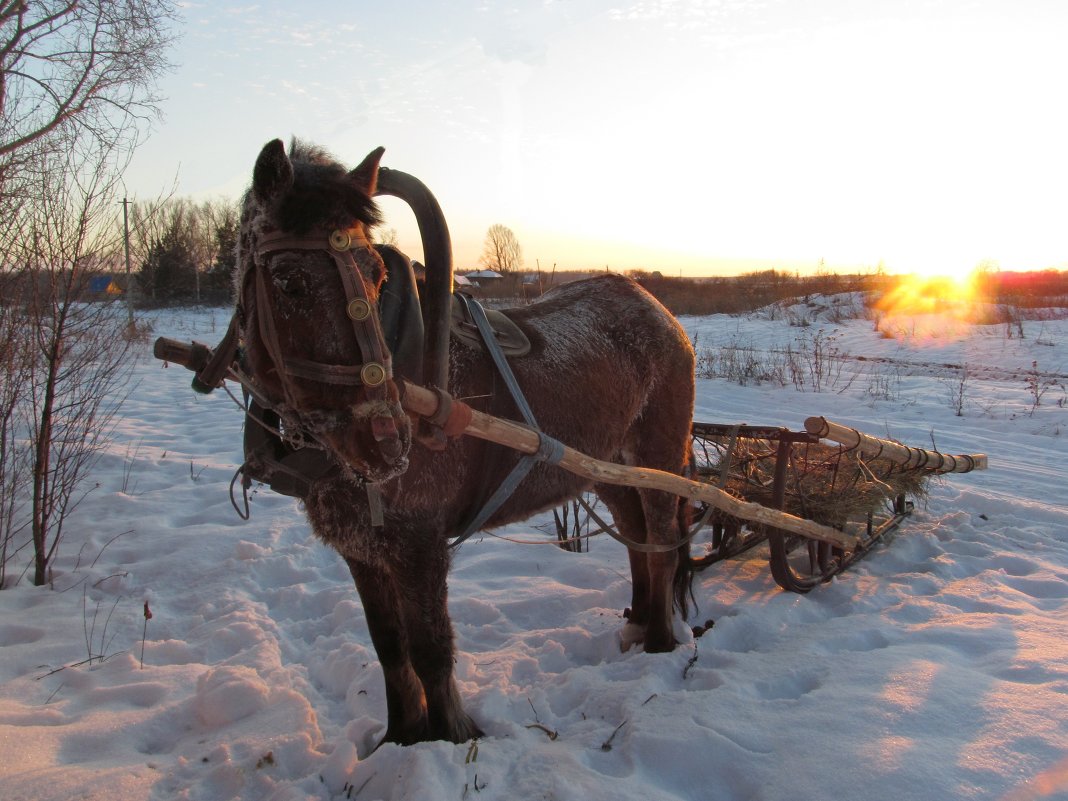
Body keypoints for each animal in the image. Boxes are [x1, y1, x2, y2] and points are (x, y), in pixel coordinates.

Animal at [233, 137, 696, 747]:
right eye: (290, 281)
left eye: (376, 274)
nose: (385, 442)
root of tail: (660, 311)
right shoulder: (360, 550)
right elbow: (390, 649)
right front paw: (400, 739)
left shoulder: (419, 544)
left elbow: (431, 650)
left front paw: (455, 737)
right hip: (604, 469)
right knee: (635, 537)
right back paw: (637, 628)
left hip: (658, 458)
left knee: (662, 541)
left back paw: (660, 645)